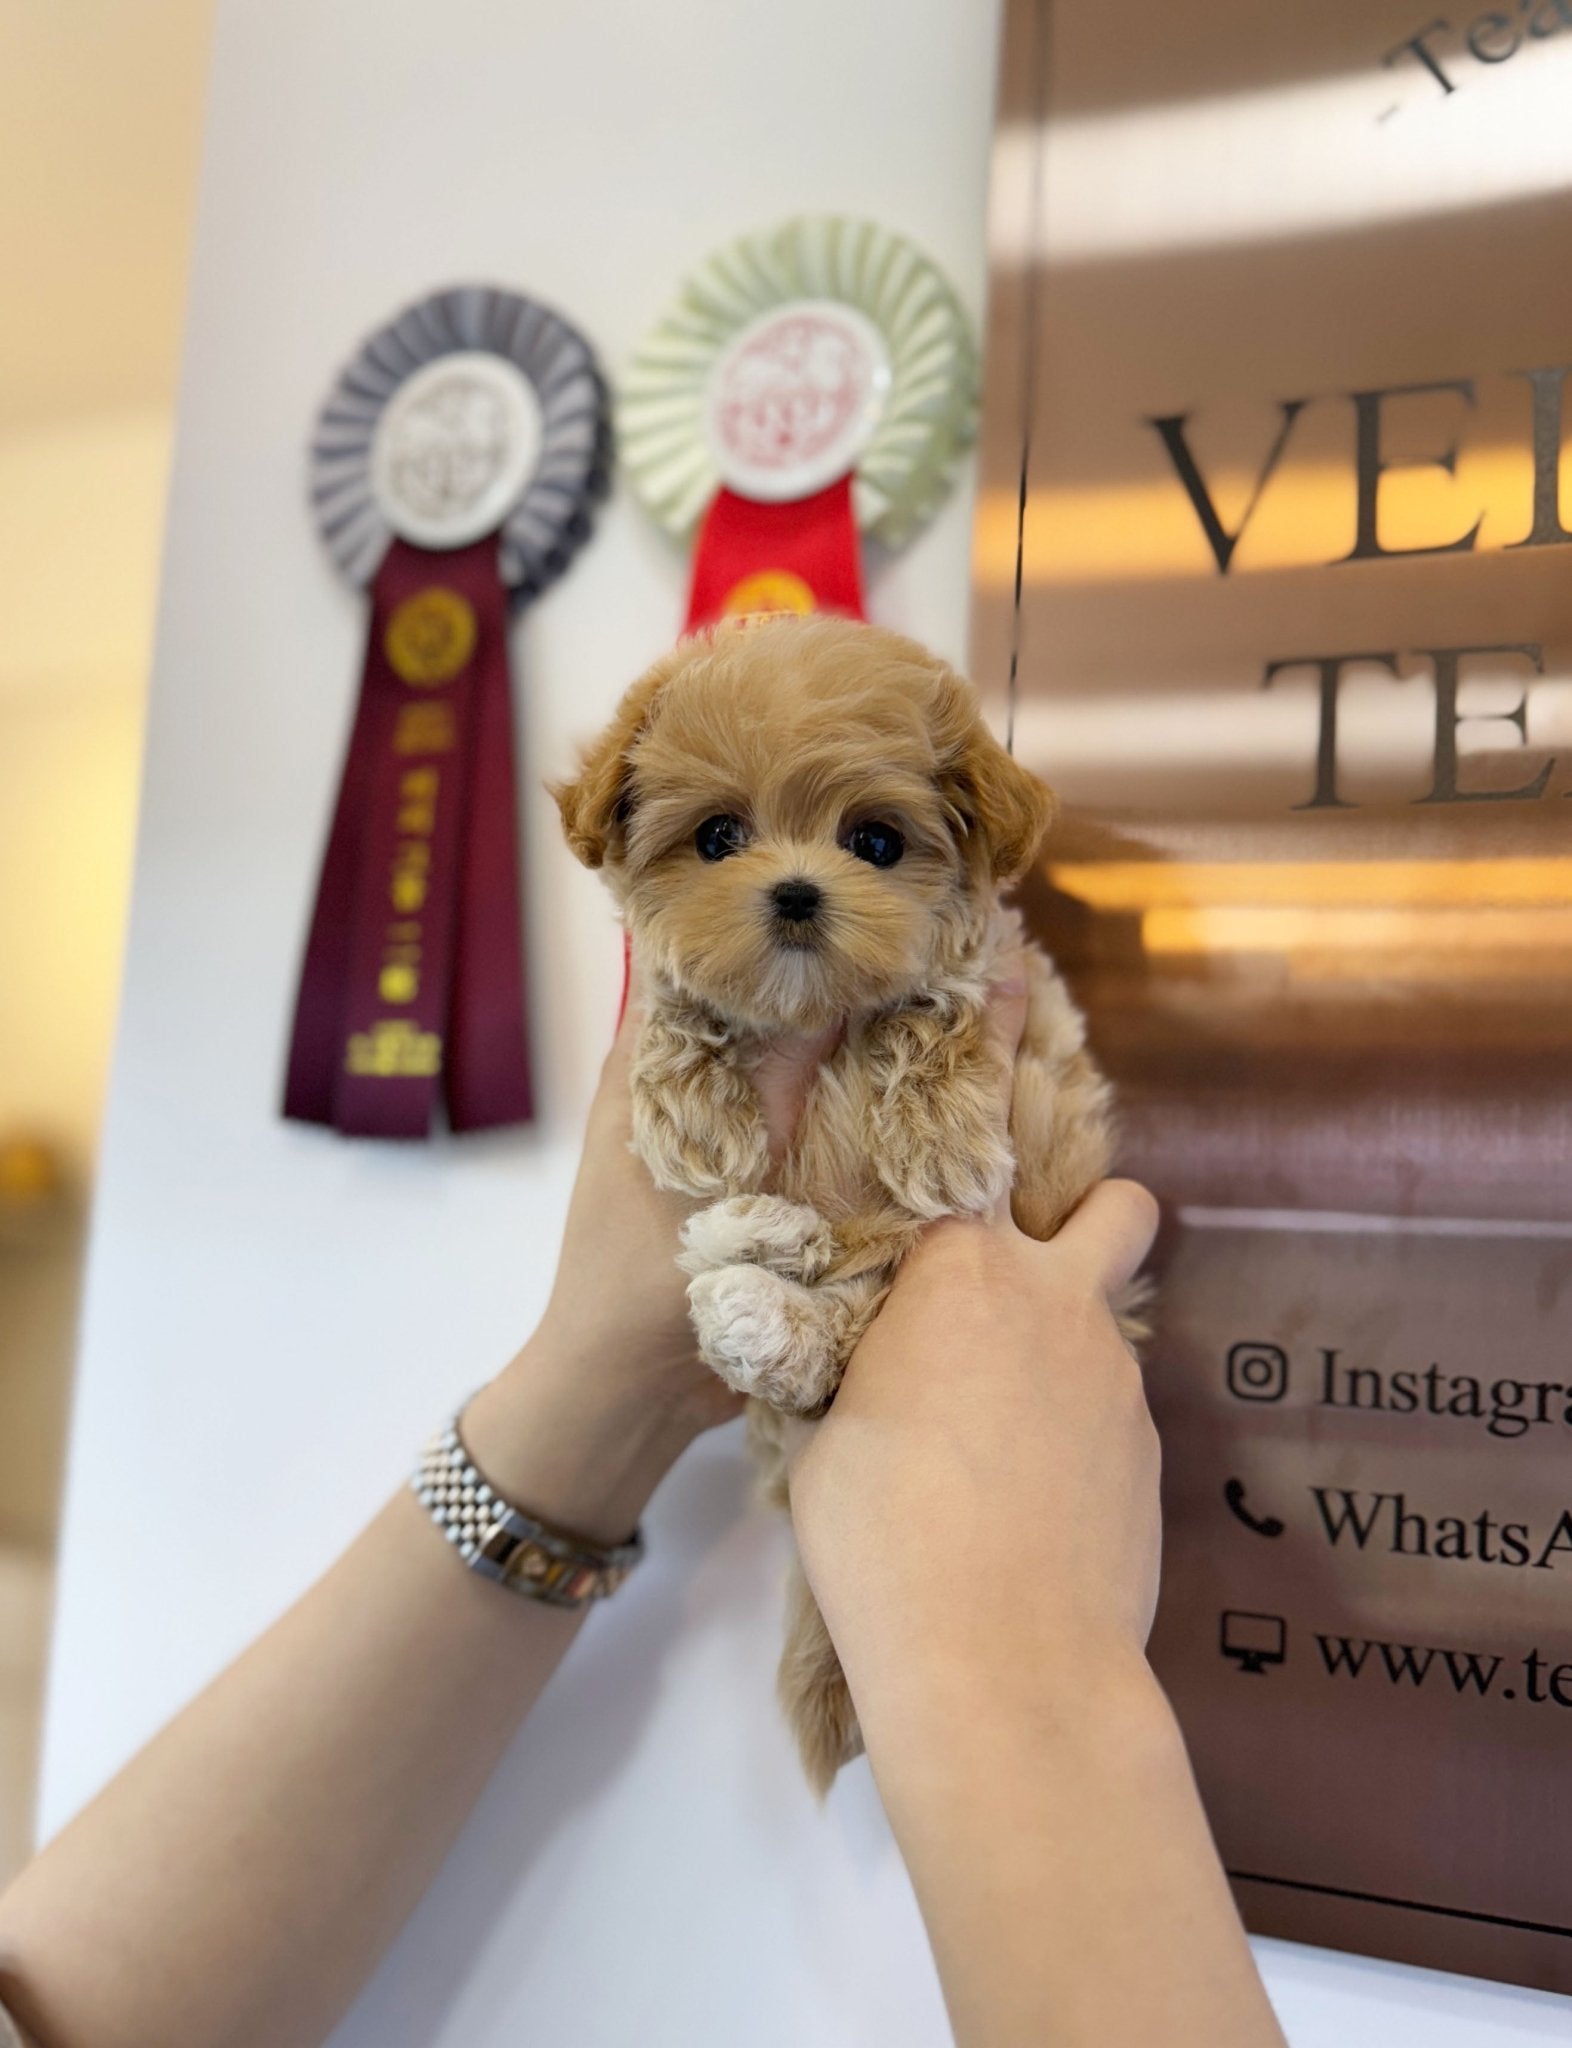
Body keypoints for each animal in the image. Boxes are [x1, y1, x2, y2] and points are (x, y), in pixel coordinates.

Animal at [552, 610, 1113, 1794]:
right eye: (719, 837)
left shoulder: (1008, 987)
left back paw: (761, 1280)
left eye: (878, 844)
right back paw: (750, 1242)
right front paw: (694, 1108)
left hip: (885, 1276)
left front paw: (940, 1136)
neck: (808, 1014)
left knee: (827, 1333)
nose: (798, 893)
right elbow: (677, 1000)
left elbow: (925, 1005)